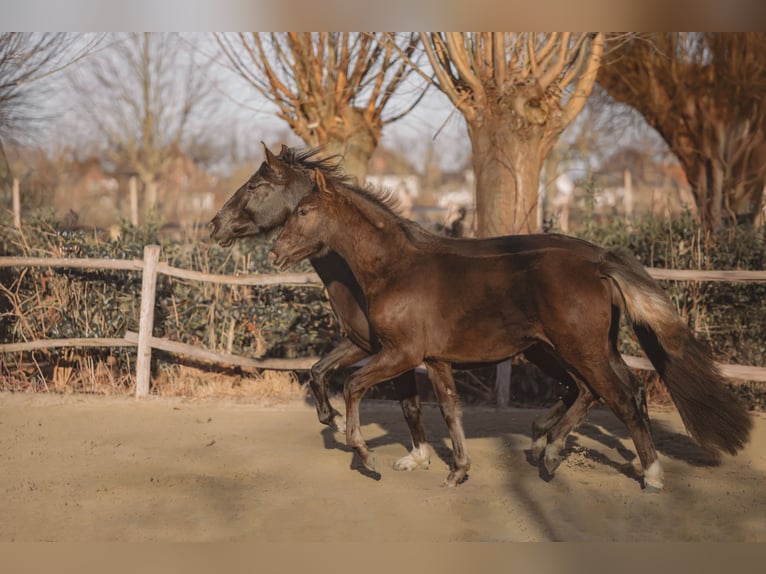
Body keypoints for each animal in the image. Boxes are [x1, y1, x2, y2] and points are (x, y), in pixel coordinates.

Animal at [269, 169, 752, 490]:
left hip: (578, 350)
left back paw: (645, 473)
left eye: (305, 210)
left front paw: (363, 452)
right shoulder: (435, 359)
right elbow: (450, 410)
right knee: (608, 391)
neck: (394, 269)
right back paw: (552, 450)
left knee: (613, 396)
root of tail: (598, 262)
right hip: (586, 348)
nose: (275, 252)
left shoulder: (400, 353)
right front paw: (457, 471)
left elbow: (353, 386)